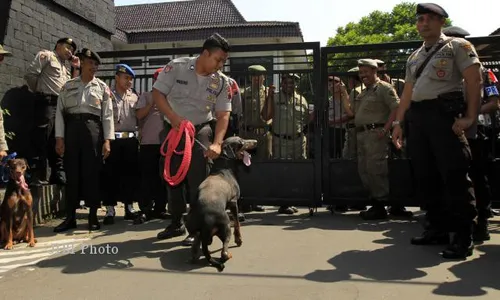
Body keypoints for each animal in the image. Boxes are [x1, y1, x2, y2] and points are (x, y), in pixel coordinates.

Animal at [185, 136, 258, 272]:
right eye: (241, 142)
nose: (256, 142)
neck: (223, 168)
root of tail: (205, 220)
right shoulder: (234, 202)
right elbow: (237, 223)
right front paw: (239, 240)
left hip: (193, 227)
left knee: (196, 247)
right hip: (225, 226)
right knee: (223, 253)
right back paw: (228, 254)